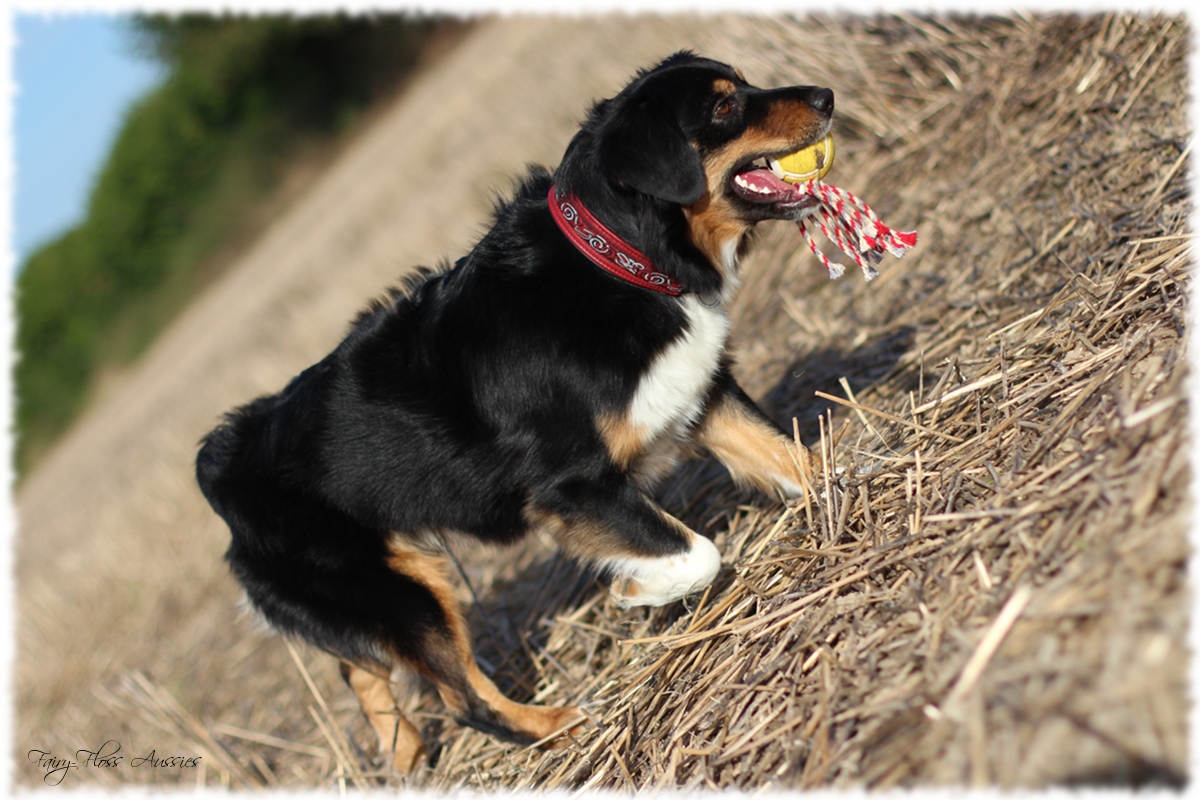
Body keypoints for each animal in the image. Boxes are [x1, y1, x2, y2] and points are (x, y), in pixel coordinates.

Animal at [199, 51, 835, 777]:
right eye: (724, 106)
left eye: (746, 83)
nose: (826, 95)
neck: (618, 261)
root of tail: (220, 464)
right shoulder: (572, 487)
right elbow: (696, 550)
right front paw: (637, 592)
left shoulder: (701, 393)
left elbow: (796, 458)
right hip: (399, 588)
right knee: (462, 698)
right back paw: (558, 727)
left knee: (361, 671)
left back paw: (406, 753)